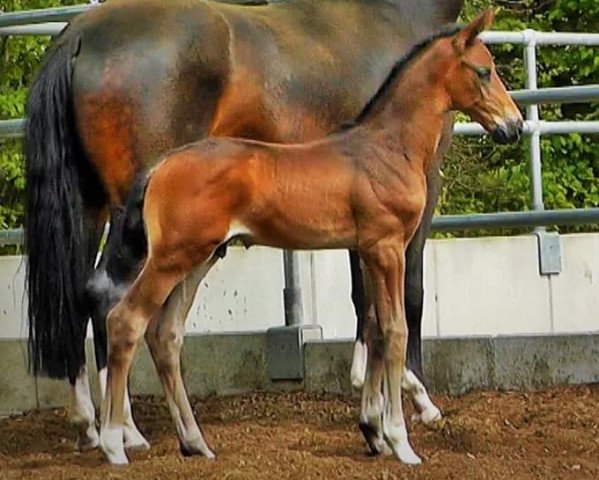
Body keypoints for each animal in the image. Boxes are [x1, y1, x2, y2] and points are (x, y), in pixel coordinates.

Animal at [101, 11, 524, 464]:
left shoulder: (365, 250)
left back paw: (194, 441)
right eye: (484, 70)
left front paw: (372, 430)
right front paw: (399, 440)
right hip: (170, 257)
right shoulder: (387, 247)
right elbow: (395, 332)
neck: (388, 149)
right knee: (125, 321)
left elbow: (374, 327)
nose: (514, 125)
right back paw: (114, 443)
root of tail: (160, 166)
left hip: (201, 257)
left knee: (165, 335)